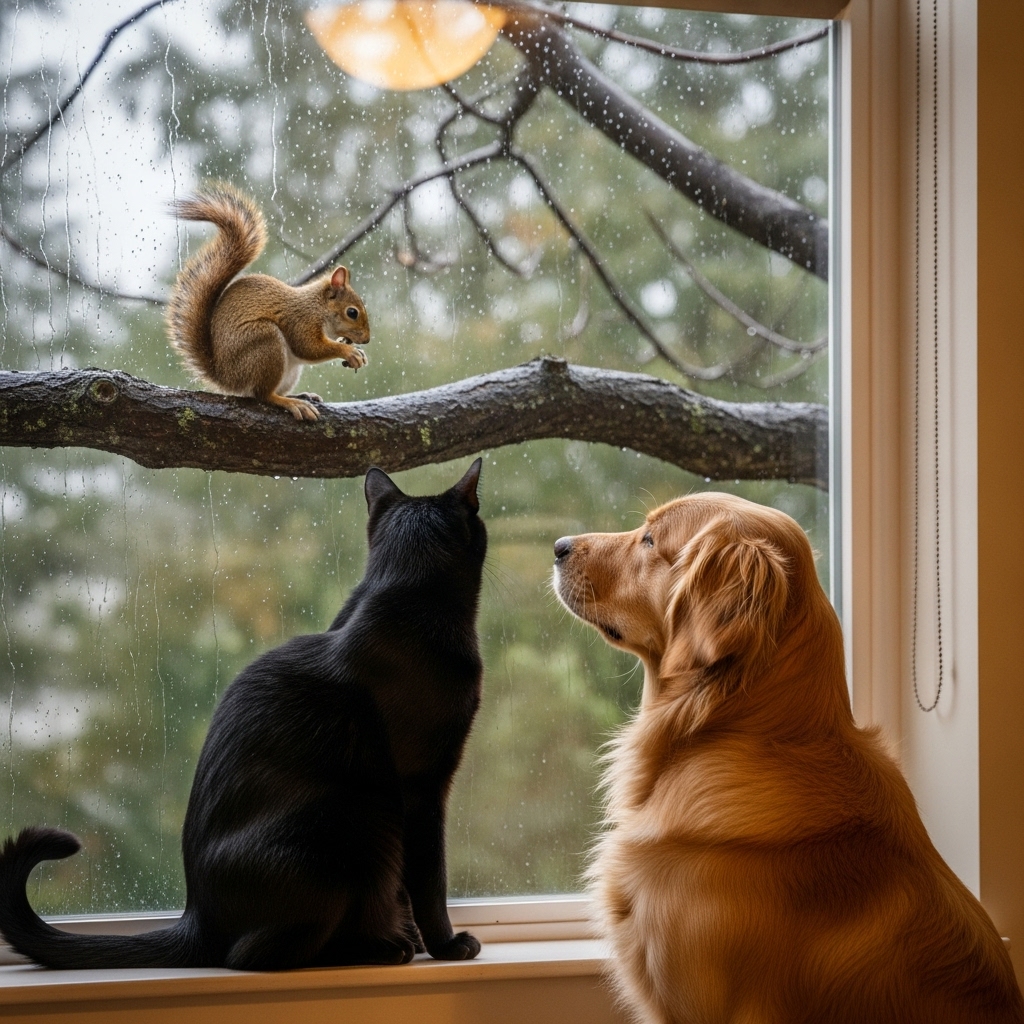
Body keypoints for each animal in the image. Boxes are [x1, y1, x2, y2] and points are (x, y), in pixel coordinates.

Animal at [165, 182, 370, 421]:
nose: (366, 339)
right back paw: (290, 402)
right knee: (263, 395)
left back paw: (301, 396)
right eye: (352, 312)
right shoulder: (301, 320)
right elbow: (308, 348)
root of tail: (225, 377)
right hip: (264, 342)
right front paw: (348, 351)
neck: (318, 307)